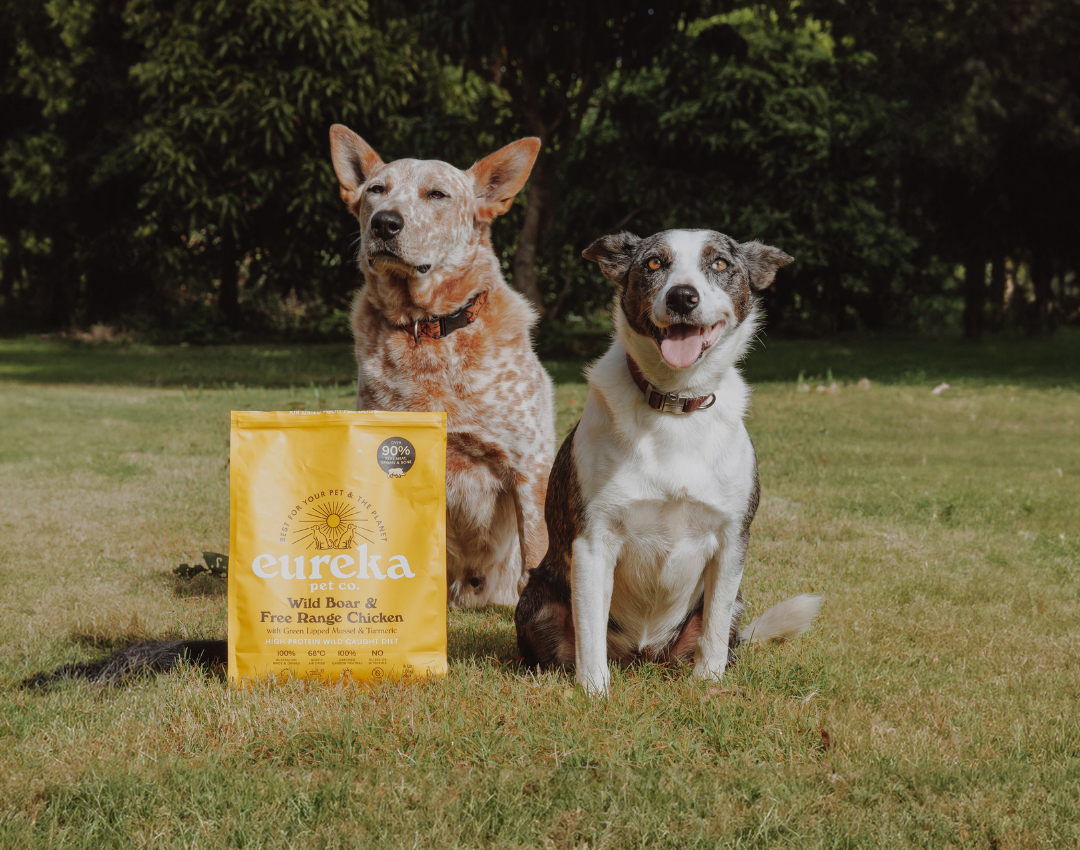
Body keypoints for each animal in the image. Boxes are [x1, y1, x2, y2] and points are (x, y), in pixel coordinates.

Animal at [328, 124, 557, 604]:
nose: (385, 222)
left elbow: (536, 550)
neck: (427, 330)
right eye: (376, 190)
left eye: (437, 194)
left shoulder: (529, 466)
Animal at [514, 228, 816, 695]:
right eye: (654, 264)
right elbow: (589, 629)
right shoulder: (592, 541)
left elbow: (713, 627)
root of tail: (641, 654)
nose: (682, 297)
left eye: (720, 263)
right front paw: (594, 691)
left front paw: (708, 682)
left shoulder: (732, 540)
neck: (675, 405)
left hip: (736, 605)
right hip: (535, 604)